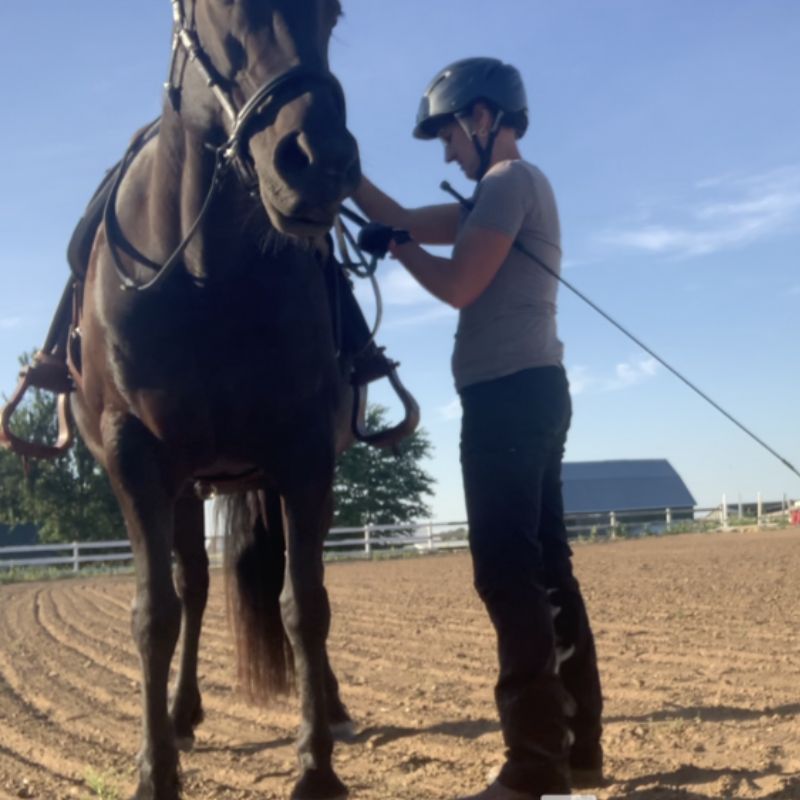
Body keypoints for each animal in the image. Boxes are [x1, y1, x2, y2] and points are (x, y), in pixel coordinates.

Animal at [59, 1, 366, 797]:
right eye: (223, 9)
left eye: (332, 15)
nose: (321, 162)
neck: (205, 274)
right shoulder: (136, 459)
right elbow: (154, 614)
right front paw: (154, 766)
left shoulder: (304, 454)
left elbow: (305, 605)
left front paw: (316, 765)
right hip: (186, 486)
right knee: (191, 587)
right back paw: (182, 712)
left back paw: (332, 704)